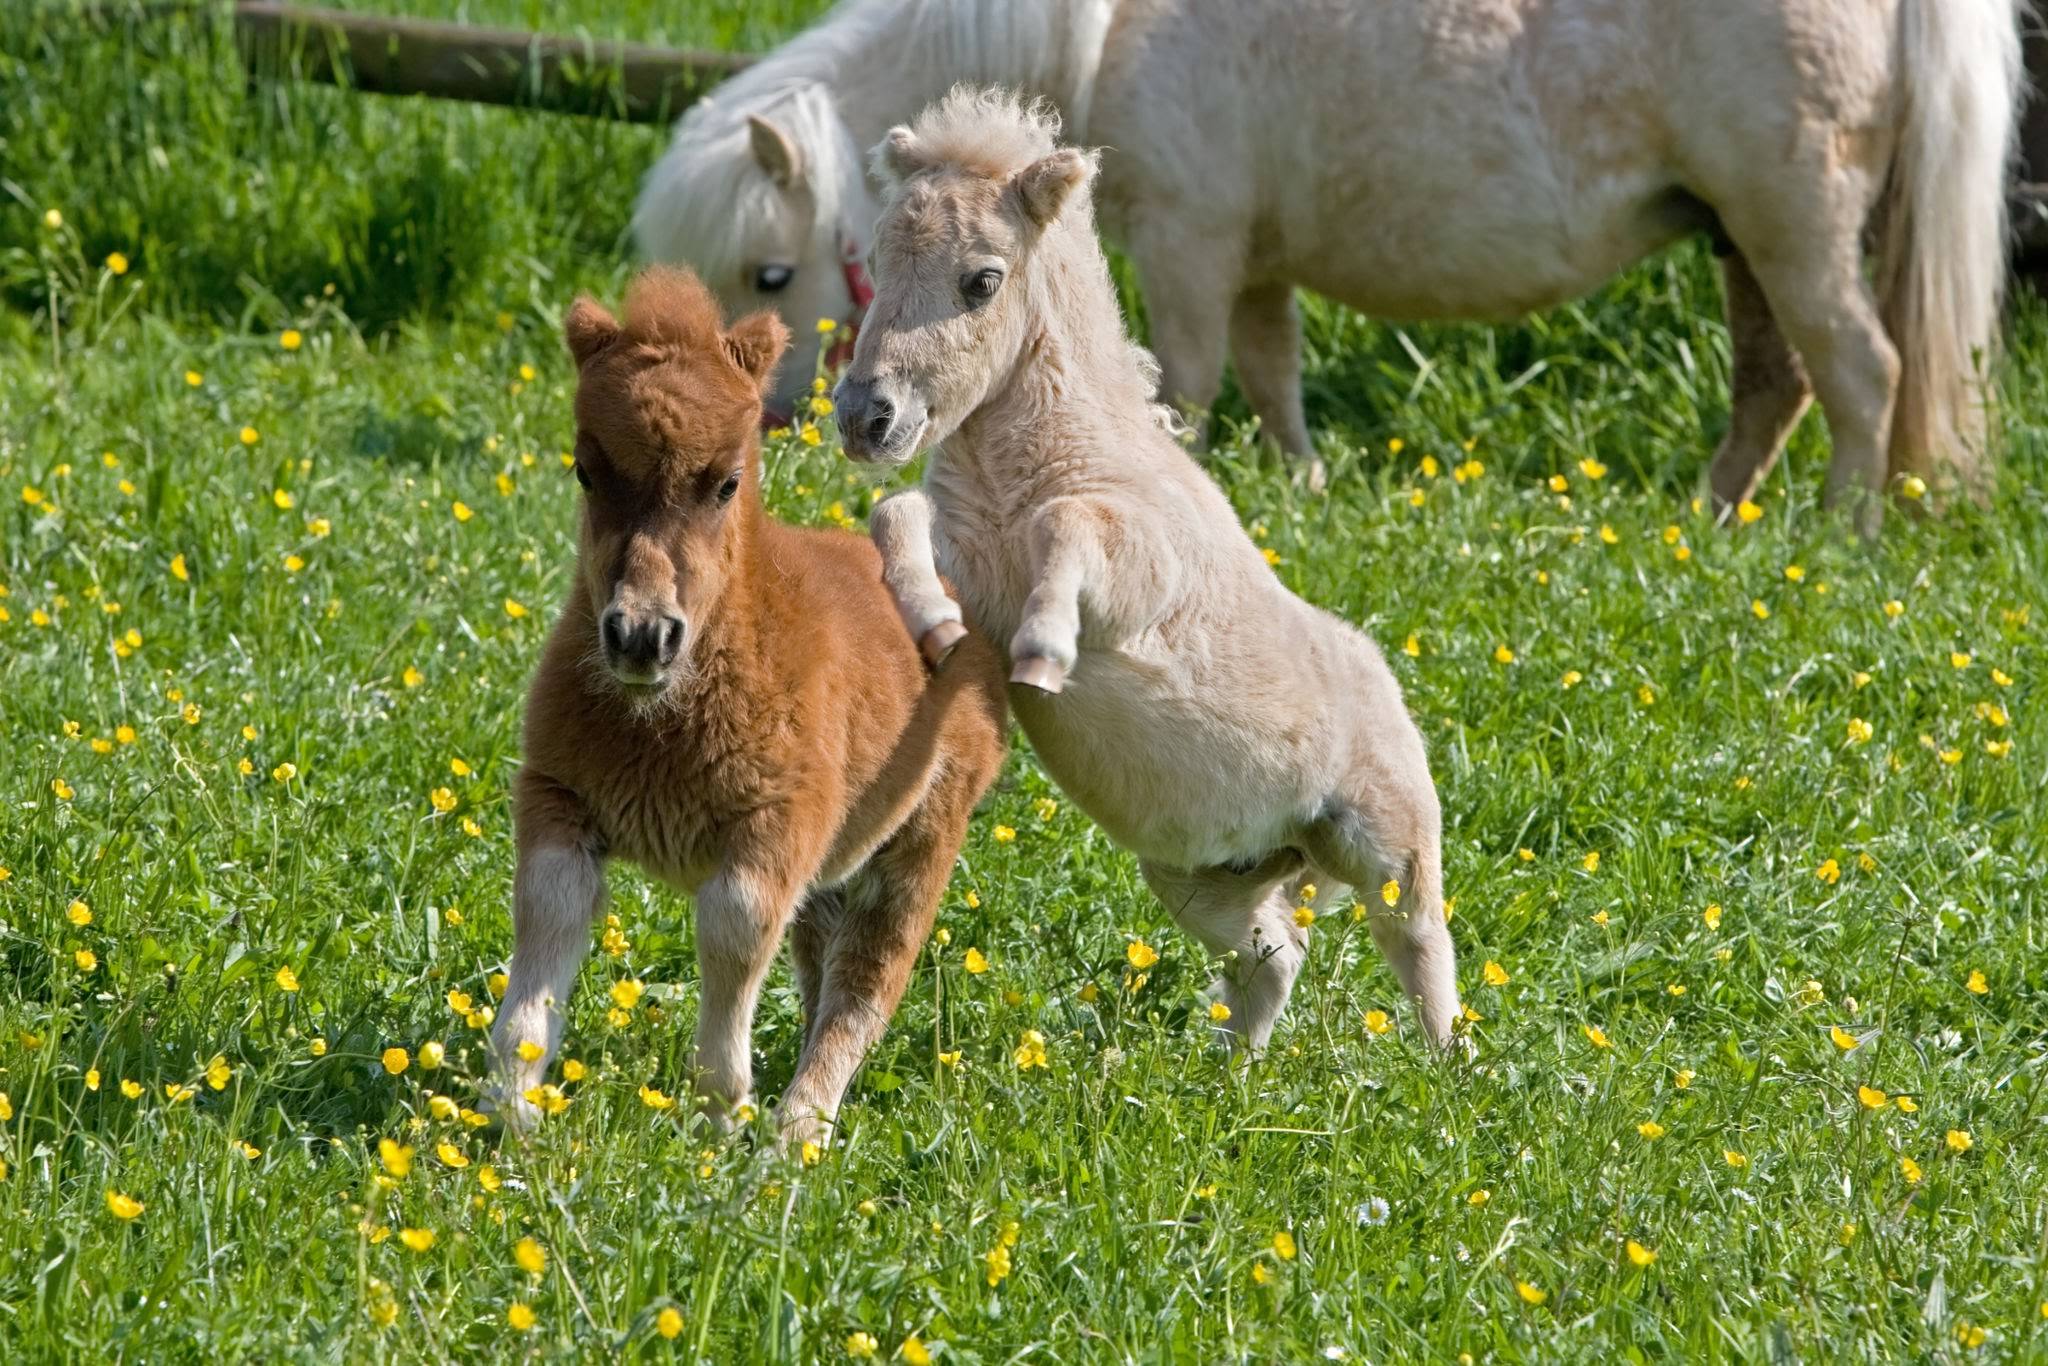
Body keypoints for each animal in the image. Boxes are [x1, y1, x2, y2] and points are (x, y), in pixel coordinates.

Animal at [634, 0, 2015, 532]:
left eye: (770, 276)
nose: (754, 432)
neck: (1107, 25)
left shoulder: (1191, 243)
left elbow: (1188, 384)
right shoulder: (1252, 260)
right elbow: (1272, 375)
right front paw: (1296, 486)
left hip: (1791, 224)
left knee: (1861, 371)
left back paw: (1841, 531)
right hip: (1741, 236)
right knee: (1775, 381)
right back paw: (1710, 519)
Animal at [827, 90, 1458, 1056]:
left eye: (982, 280)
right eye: (876, 258)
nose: (866, 418)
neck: (1031, 470)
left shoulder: (1135, 570)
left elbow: (1070, 527)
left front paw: (1045, 654)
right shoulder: (969, 557)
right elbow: (895, 514)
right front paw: (931, 622)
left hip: (1385, 840)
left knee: (1421, 939)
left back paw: (1450, 1067)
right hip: (1199, 875)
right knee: (1276, 956)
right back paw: (1231, 1073)